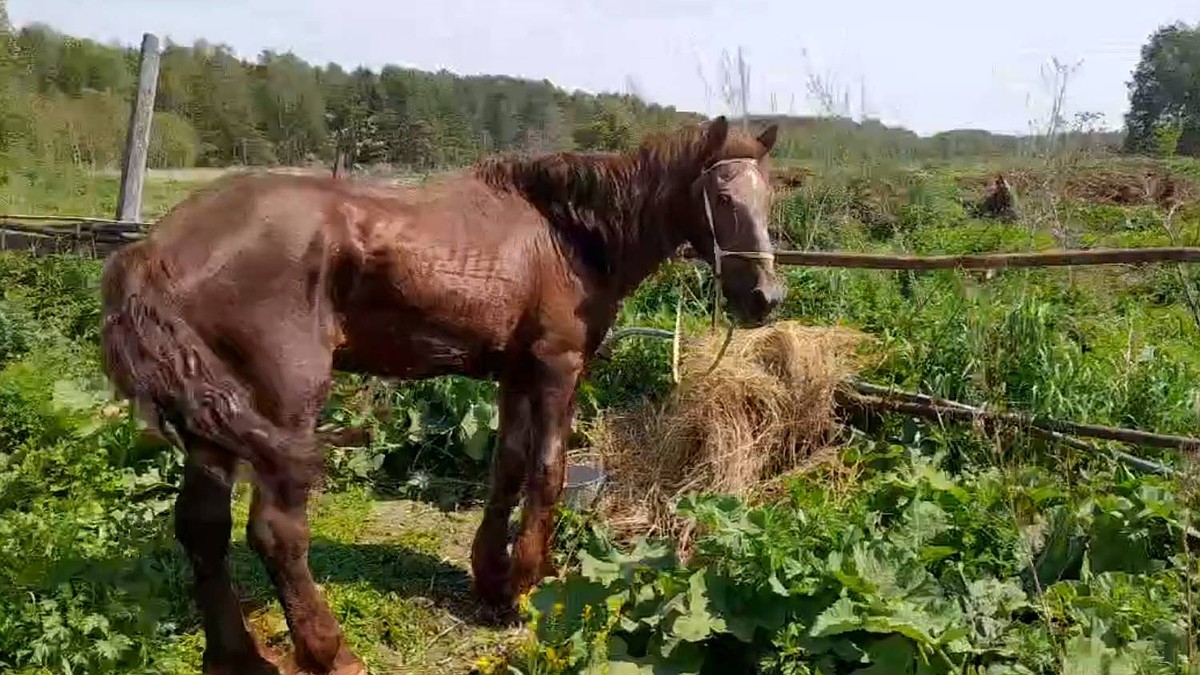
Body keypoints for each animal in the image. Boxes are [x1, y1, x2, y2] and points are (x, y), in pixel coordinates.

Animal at [96, 112, 787, 667]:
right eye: (722, 196)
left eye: (769, 199)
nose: (765, 298)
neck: (565, 234)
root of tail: (154, 249)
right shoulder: (557, 368)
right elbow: (548, 473)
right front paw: (527, 585)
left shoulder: (514, 373)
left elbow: (507, 468)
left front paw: (492, 580)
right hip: (285, 404)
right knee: (275, 531)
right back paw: (331, 652)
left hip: (213, 421)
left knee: (201, 527)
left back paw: (237, 657)